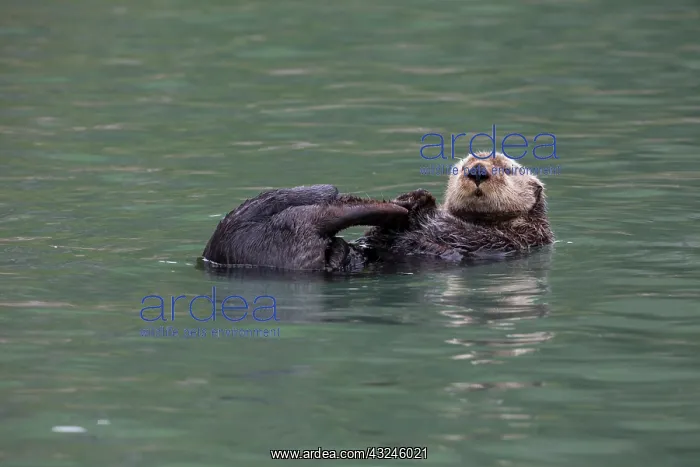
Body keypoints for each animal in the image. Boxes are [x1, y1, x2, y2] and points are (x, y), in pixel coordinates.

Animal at [358, 152, 554, 260]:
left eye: (507, 170)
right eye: (463, 166)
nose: (478, 171)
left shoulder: (518, 238)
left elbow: (460, 233)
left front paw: (421, 202)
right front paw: (409, 198)